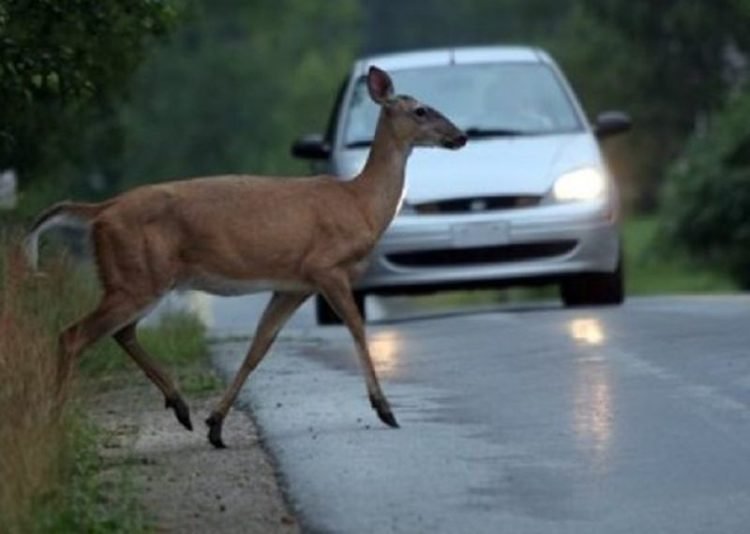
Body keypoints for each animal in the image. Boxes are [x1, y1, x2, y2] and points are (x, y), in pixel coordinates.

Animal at [23, 68, 468, 452]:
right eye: (421, 110)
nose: (461, 136)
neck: (360, 203)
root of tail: (101, 210)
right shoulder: (326, 266)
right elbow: (357, 328)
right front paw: (385, 410)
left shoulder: (292, 285)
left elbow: (259, 346)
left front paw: (216, 424)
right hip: (138, 276)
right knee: (72, 335)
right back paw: (53, 424)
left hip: (137, 278)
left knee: (121, 332)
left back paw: (181, 407)